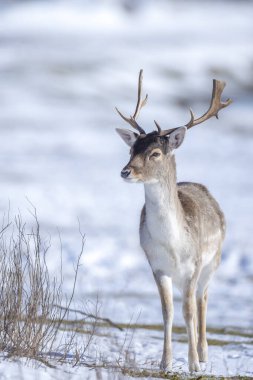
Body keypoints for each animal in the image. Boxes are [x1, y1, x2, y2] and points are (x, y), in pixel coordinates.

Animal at [114, 70, 231, 372]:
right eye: (131, 150)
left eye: (155, 153)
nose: (125, 171)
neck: (173, 245)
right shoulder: (157, 266)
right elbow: (167, 312)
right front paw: (165, 363)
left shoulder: (195, 265)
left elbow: (188, 312)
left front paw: (194, 365)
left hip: (214, 261)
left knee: (203, 300)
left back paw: (203, 352)